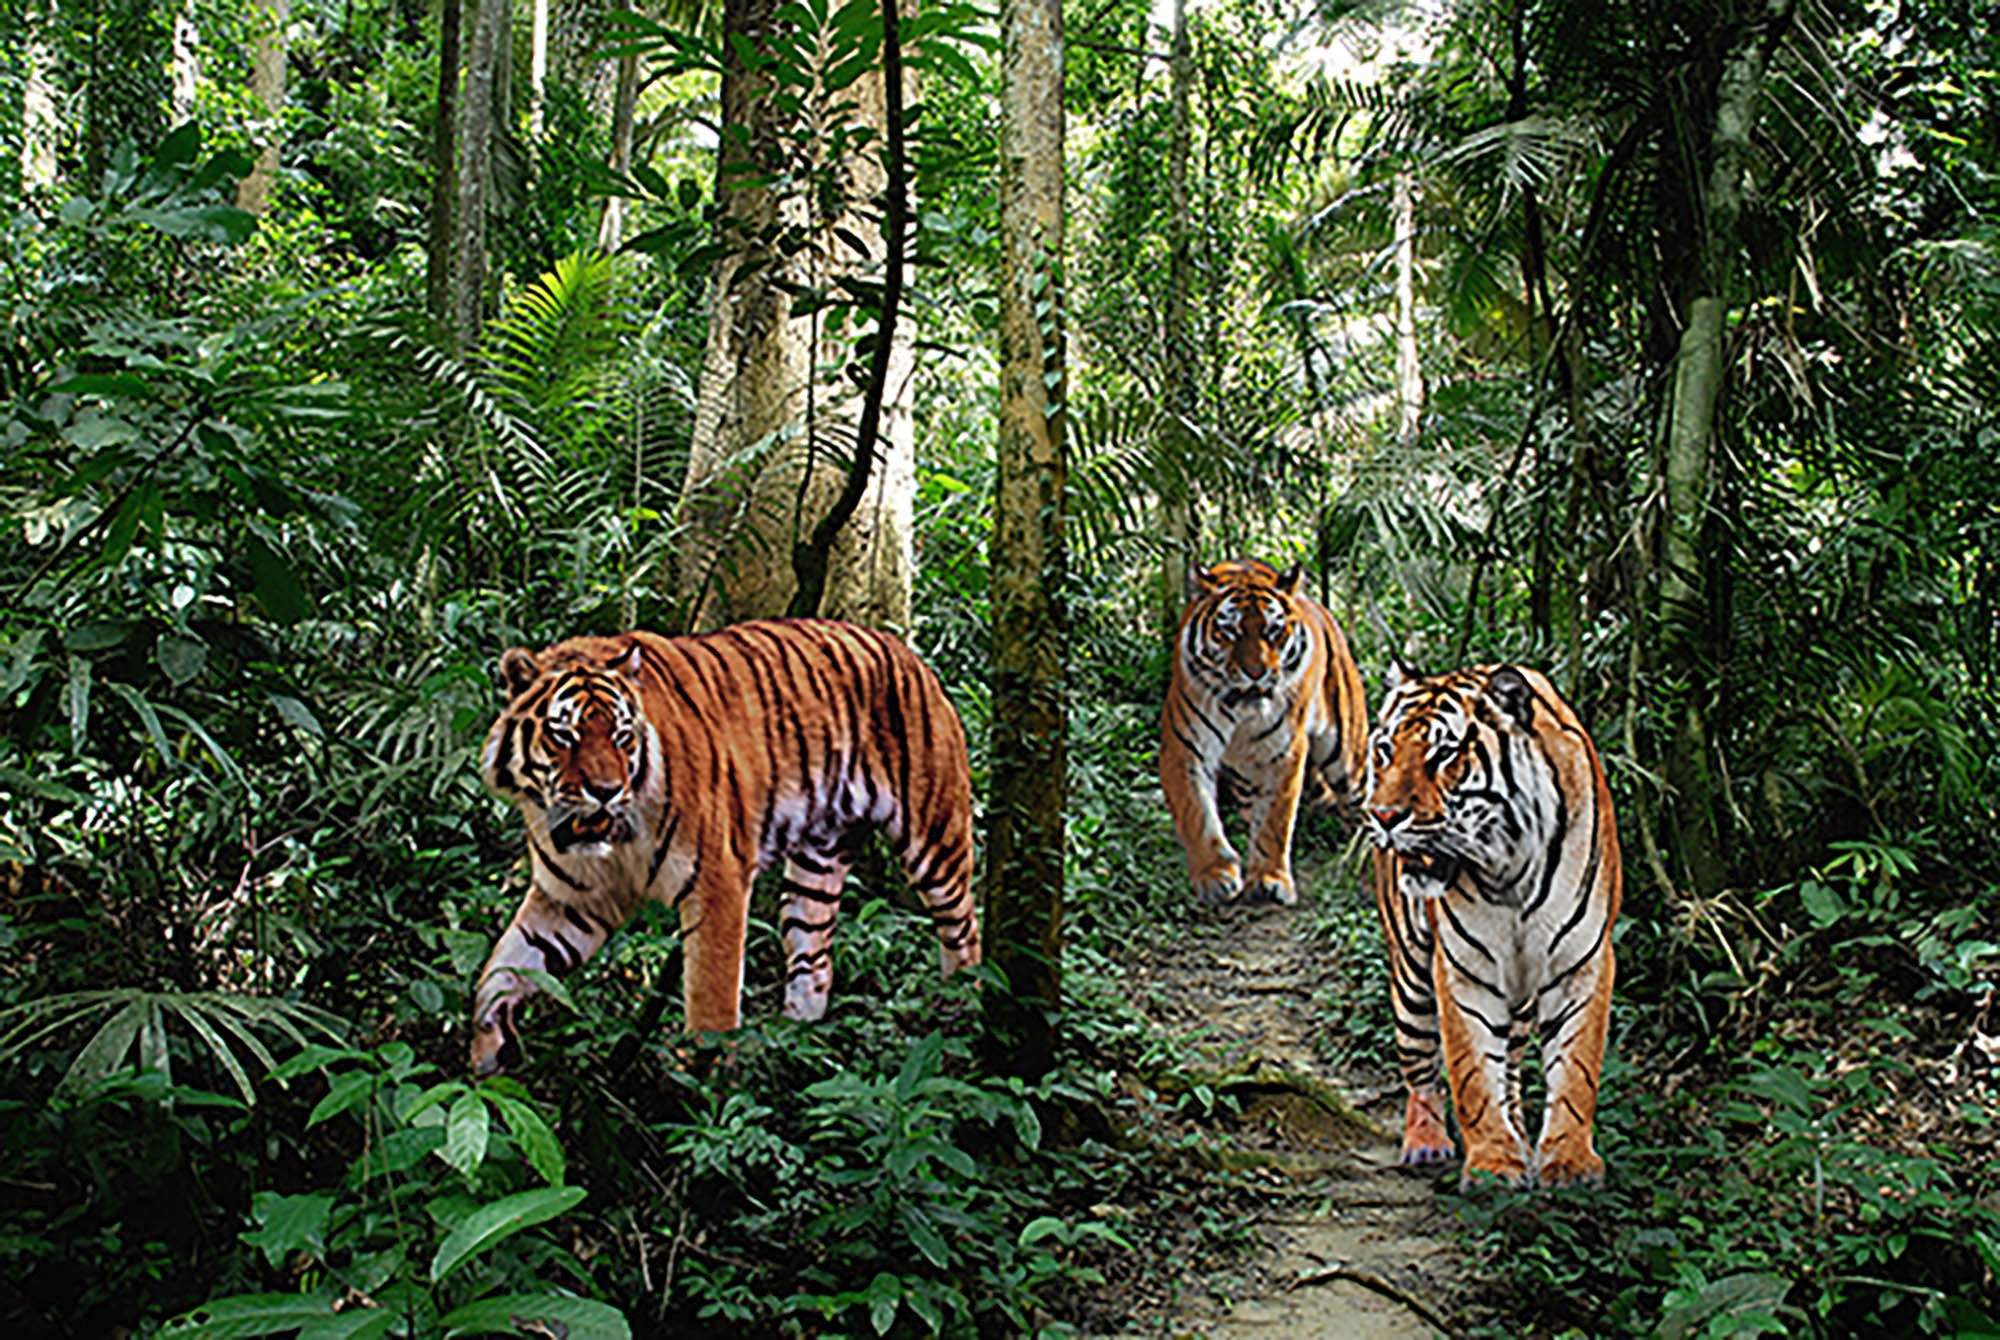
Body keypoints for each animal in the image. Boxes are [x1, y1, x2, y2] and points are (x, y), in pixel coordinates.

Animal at [468, 618, 982, 1075]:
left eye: (621, 736)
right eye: (564, 735)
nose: (606, 791)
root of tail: (906, 651)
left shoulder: (718, 883)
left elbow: (710, 1007)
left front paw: (696, 1096)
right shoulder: (573, 899)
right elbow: (501, 968)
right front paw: (486, 1054)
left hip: (935, 838)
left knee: (964, 930)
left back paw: (959, 1019)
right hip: (817, 864)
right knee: (814, 962)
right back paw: (787, 1049)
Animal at [1159, 559, 1370, 905]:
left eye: (1273, 631)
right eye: (1230, 631)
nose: (1256, 673)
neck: (1241, 711)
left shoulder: (1283, 753)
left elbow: (1275, 820)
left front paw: (1270, 880)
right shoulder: (1184, 749)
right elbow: (1197, 814)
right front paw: (1215, 875)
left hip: (1348, 759)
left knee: (1365, 809)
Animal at [1364, 663, 1621, 1187]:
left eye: (1443, 753)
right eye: (1385, 750)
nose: (1382, 817)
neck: (1511, 871)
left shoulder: (1583, 961)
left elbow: (1576, 1069)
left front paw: (1568, 1162)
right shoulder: (1464, 969)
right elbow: (1472, 1074)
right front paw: (1492, 1165)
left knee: (1512, 1067)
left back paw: (1521, 1136)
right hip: (1411, 973)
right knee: (1419, 1063)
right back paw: (1427, 1142)